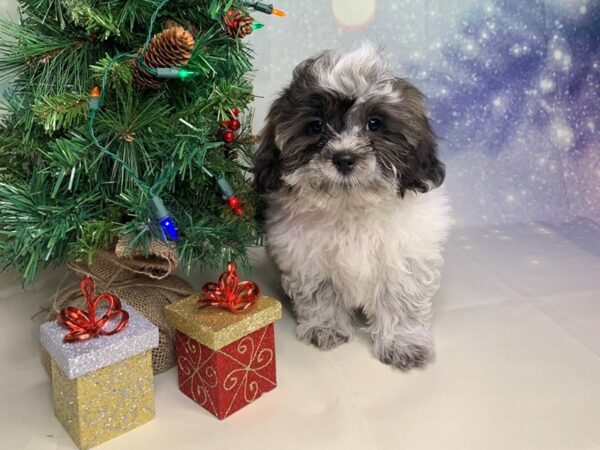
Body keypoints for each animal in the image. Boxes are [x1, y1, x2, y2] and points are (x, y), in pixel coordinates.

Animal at [254, 43, 450, 370]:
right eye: (315, 126)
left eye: (375, 124)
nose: (344, 158)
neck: (351, 207)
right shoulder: (308, 256)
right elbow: (321, 293)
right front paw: (325, 326)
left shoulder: (405, 256)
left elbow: (401, 298)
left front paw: (404, 342)